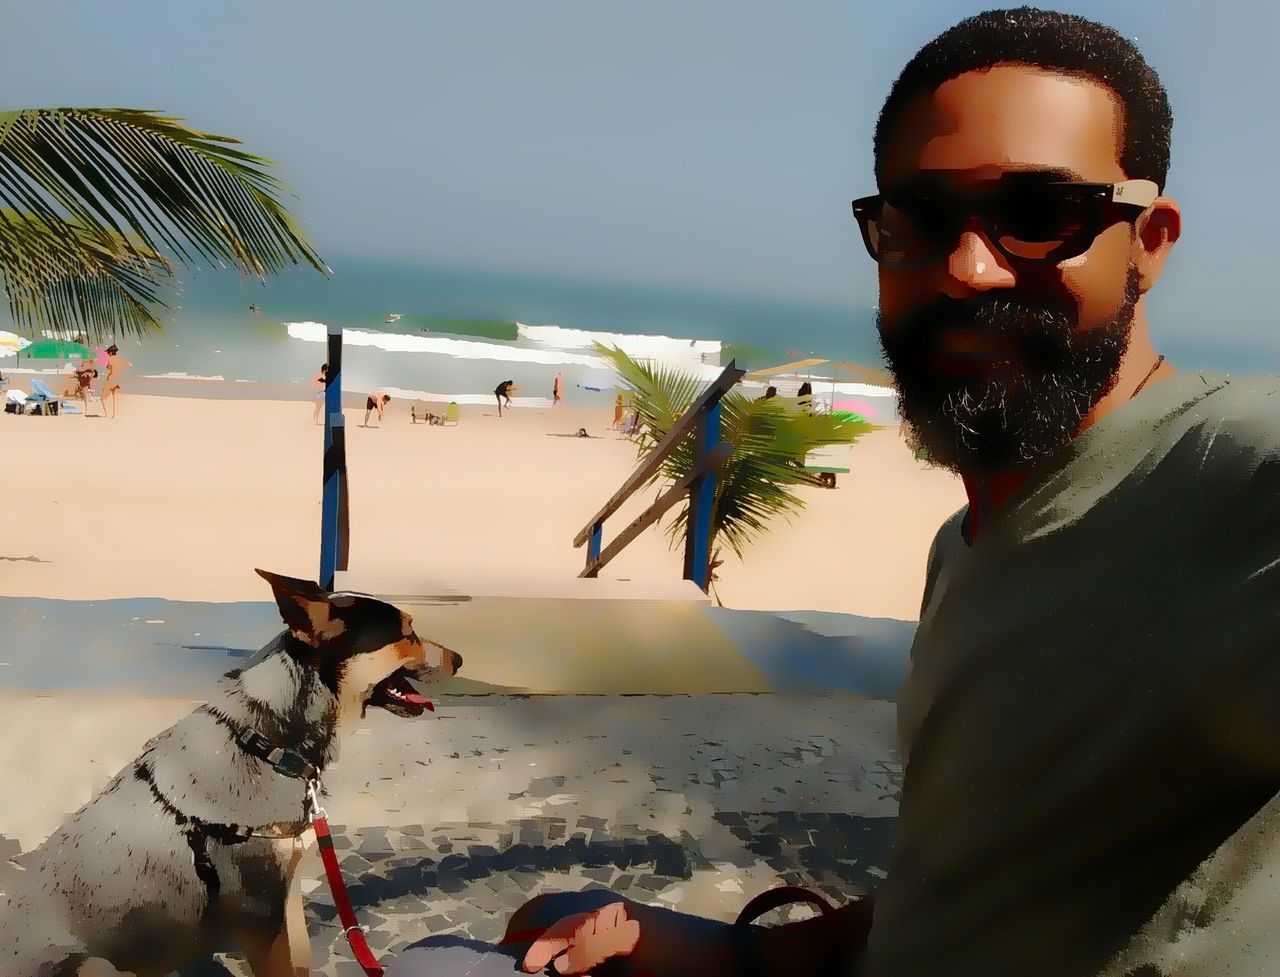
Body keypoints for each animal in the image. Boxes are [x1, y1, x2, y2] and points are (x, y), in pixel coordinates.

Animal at [0, 568, 460, 977]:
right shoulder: (259, 912)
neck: (267, 743)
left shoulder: (286, 896)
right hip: (92, 964)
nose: (459, 658)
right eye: (406, 633)